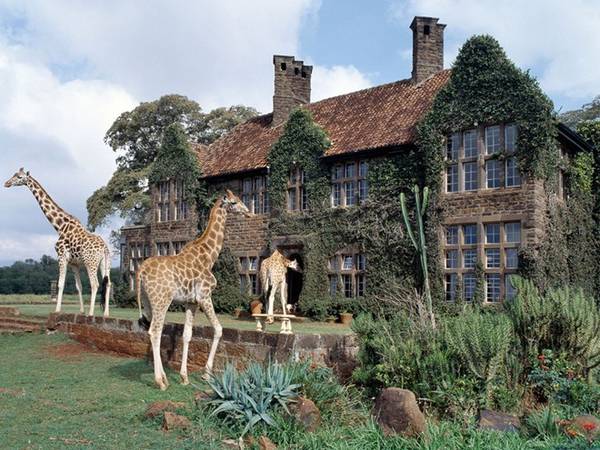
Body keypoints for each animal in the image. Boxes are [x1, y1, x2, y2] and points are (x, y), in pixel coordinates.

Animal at [4, 168, 111, 316]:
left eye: (19, 177)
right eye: (13, 175)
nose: (6, 183)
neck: (59, 226)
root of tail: (104, 248)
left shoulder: (61, 256)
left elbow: (60, 284)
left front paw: (57, 310)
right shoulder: (74, 263)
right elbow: (78, 286)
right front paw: (81, 311)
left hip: (91, 262)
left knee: (95, 284)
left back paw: (91, 313)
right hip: (104, 263)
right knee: (108, 284)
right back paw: (106, 314)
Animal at [137, 188, 252, 388]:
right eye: (234, 202)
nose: (248, 212)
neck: (209, 256)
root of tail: (141, 272)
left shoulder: (191, 302)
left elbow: (187, 335)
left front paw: (184, 377)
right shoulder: (204, 296)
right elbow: (218, 329)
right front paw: (207, 374)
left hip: (147, 302)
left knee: (151, 330)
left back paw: (164, 377)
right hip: (161, 300)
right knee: (155, 332)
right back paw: (160, 381)